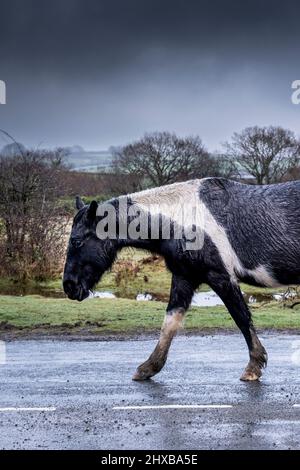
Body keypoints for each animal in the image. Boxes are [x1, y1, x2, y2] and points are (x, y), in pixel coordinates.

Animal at [62, 179, 300, 382]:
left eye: (76, 241)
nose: (69, 286)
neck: (182, 220)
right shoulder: (184, 277)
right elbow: (169, 323)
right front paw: (149, 367)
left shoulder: (221, 277)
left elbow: (241, 318)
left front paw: (253, 367)